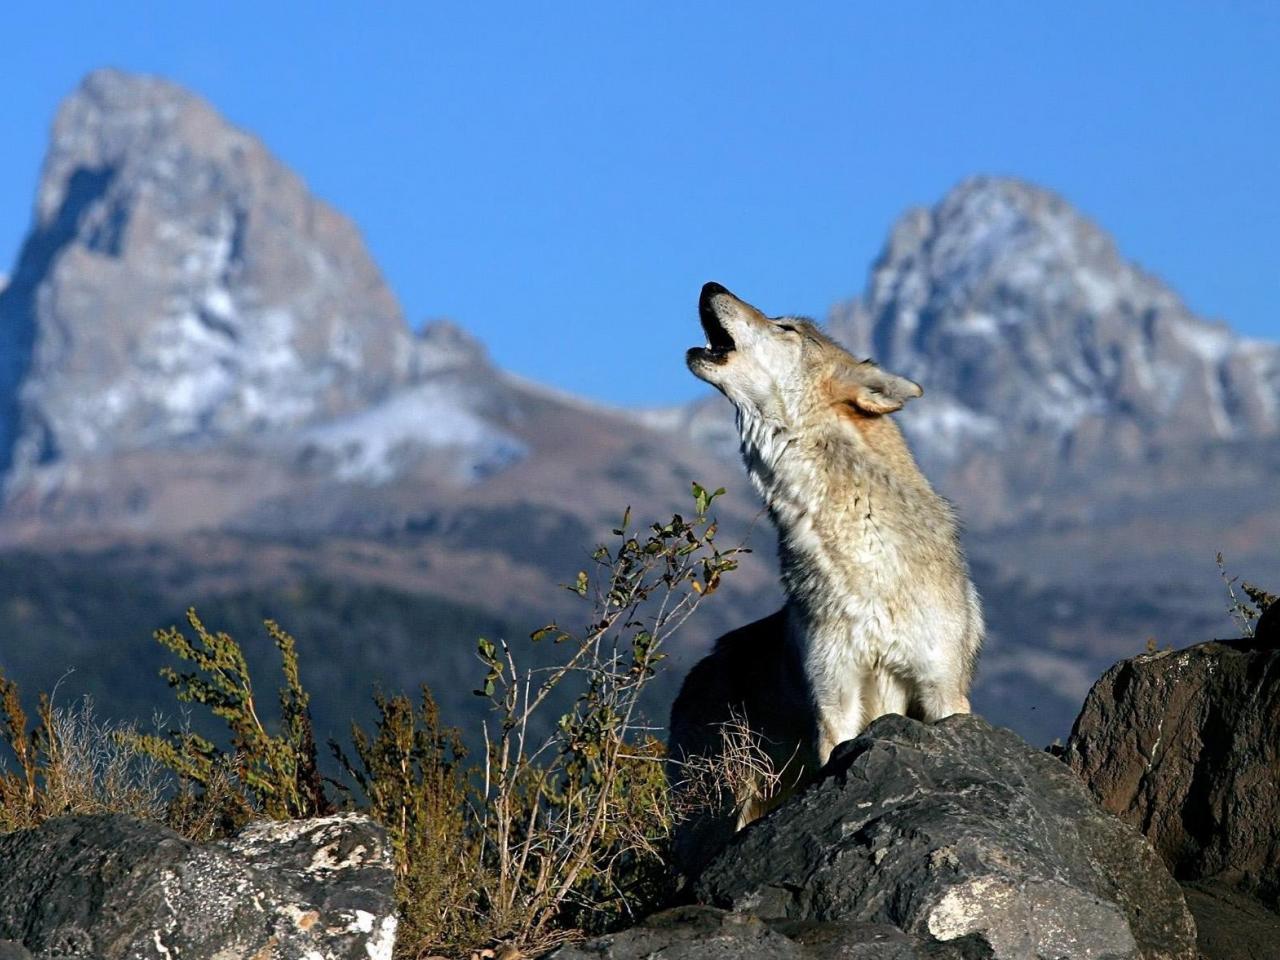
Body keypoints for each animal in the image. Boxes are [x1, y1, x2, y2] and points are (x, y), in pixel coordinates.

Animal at [670, 281, 977, 870]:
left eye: (786, 328)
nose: (710, 286)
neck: (864, 560)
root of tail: (694, 673)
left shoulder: (942, 690)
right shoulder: (835, 700)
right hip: (718, 806)